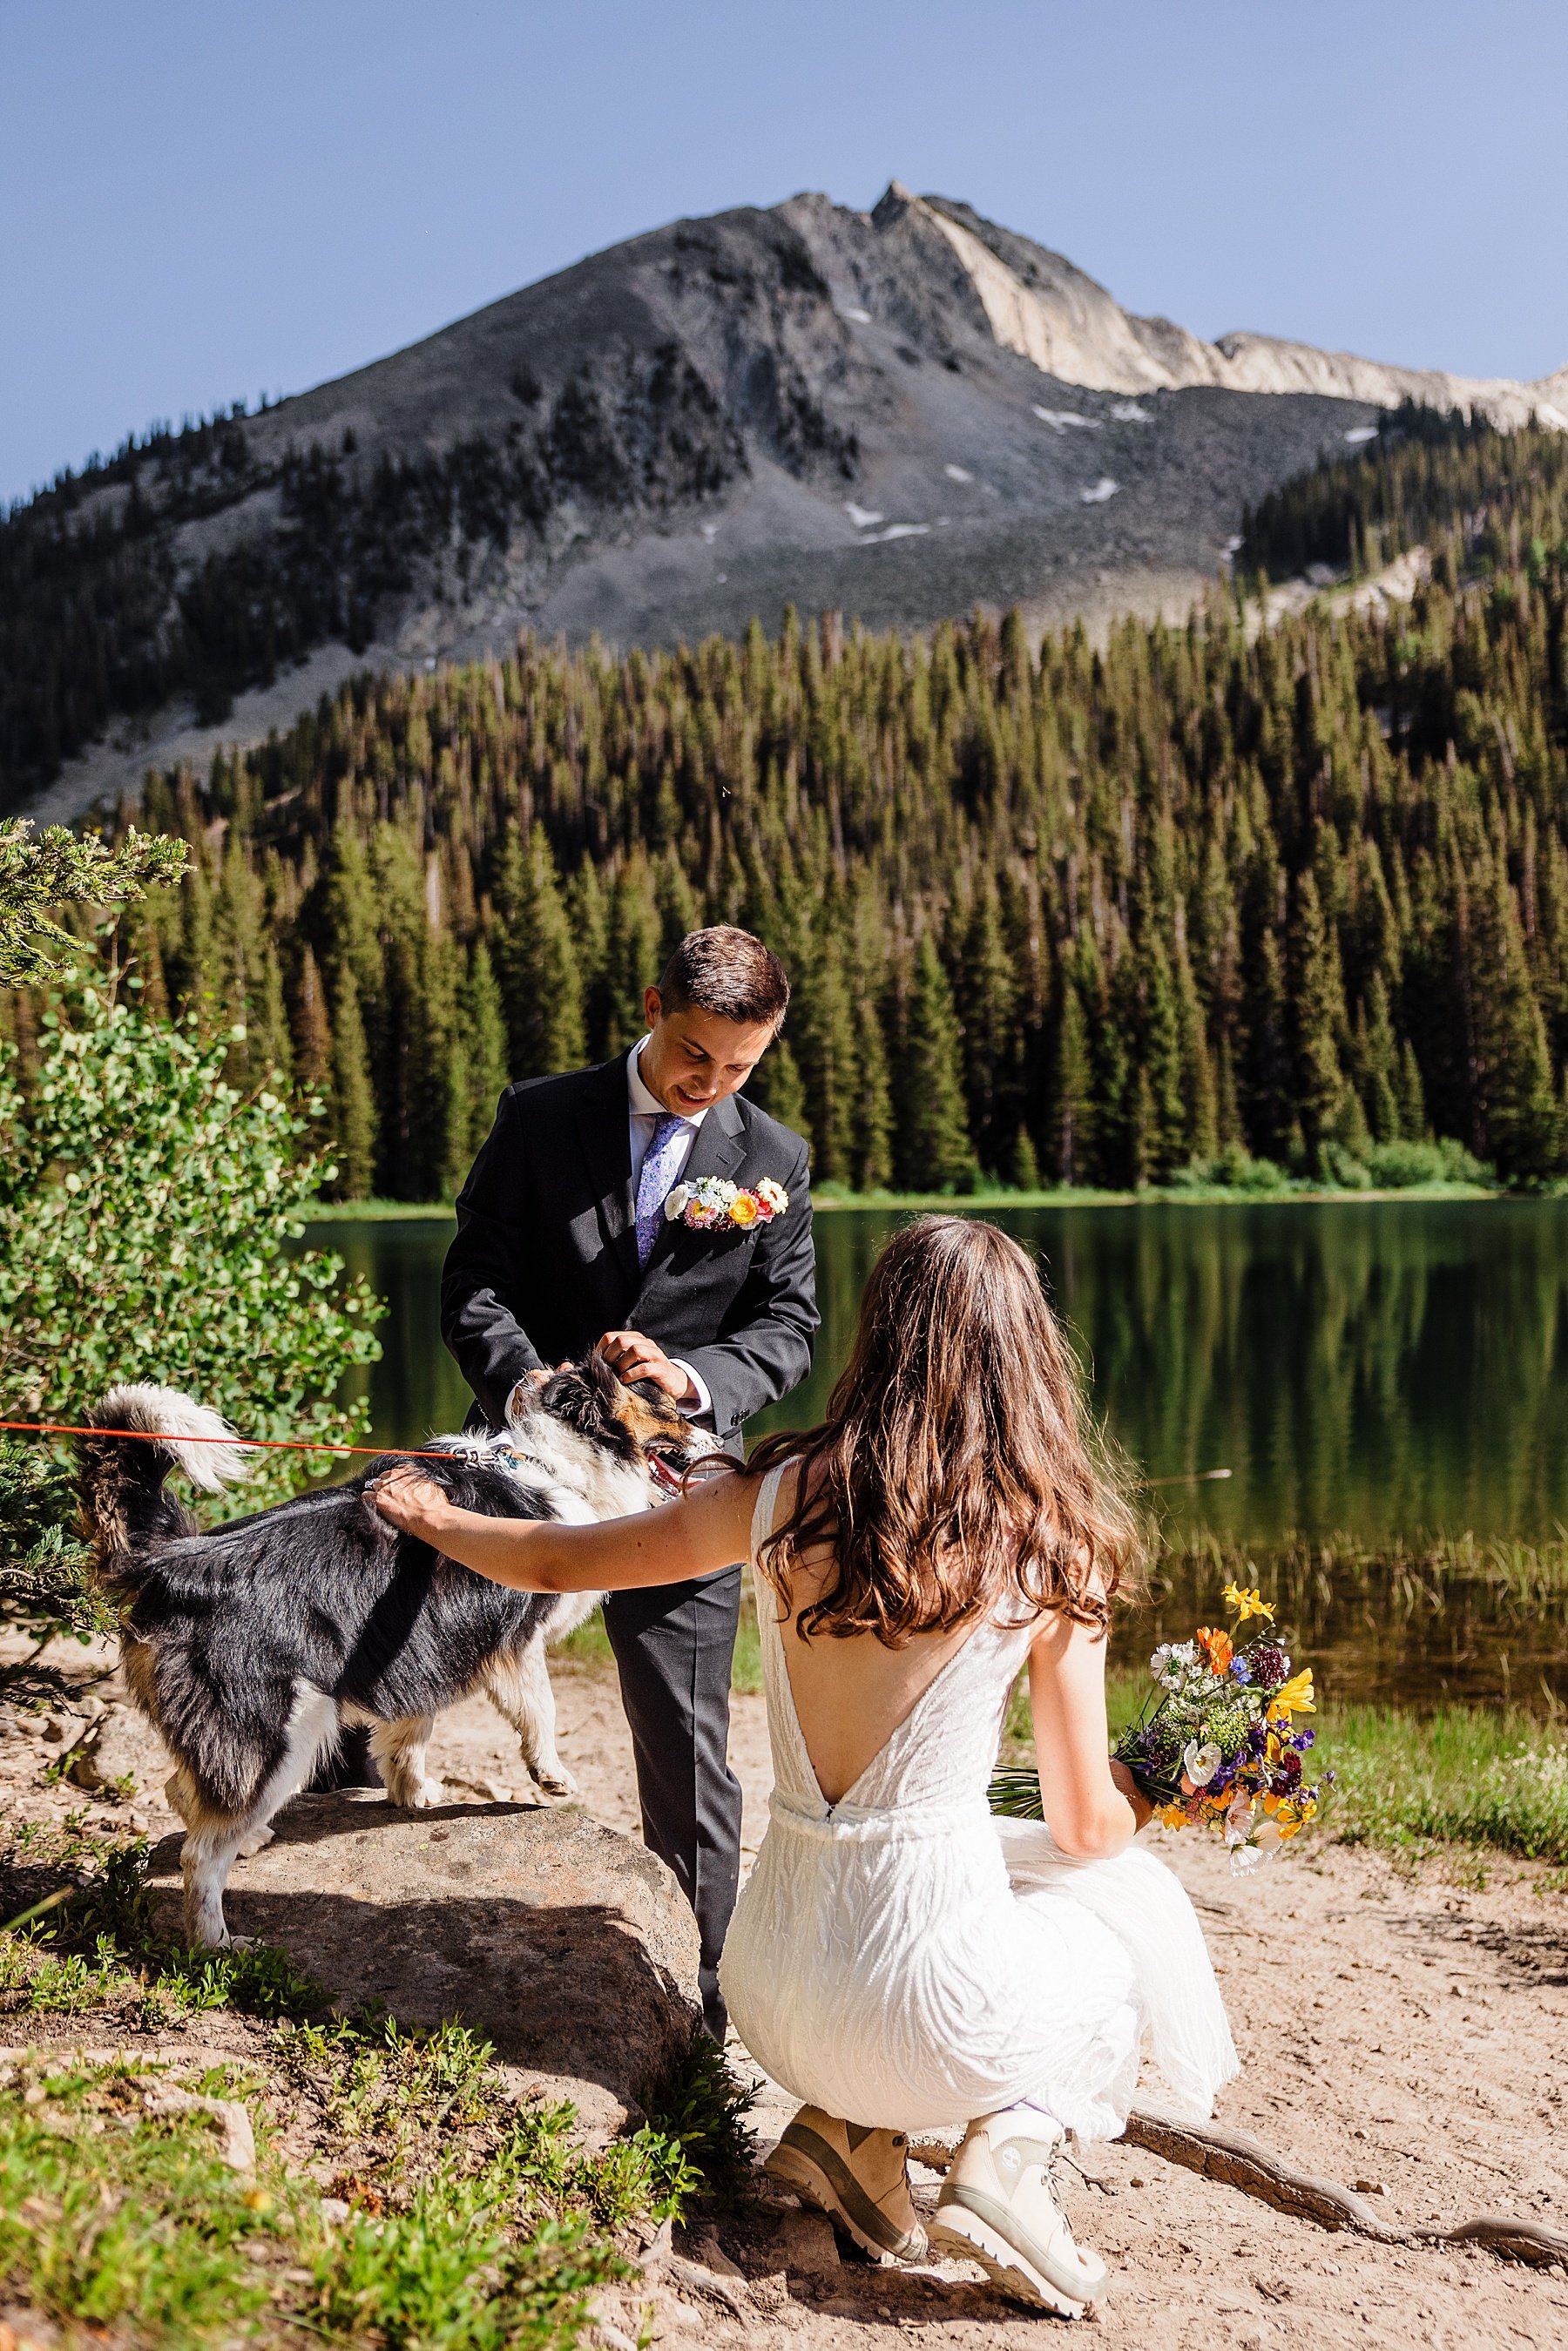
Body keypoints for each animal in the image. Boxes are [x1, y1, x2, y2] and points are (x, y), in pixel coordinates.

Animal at [75, 1363, 709, 1946]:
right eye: (667, 1407)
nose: (718, 1438)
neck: (555, 1462)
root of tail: (166, 1563)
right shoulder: (514, 1639)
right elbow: (540, 1708)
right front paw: (551, 1775)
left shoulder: (421, 1641)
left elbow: (411, 1728)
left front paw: (411, 1793)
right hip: (286, 1730)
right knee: (200, 1854)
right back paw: (216, 1945)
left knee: (183, 1791)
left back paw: (249, 1840)